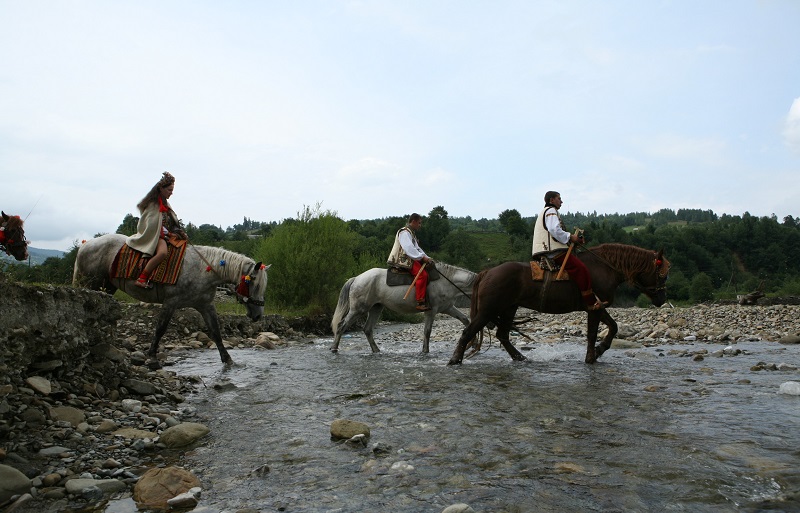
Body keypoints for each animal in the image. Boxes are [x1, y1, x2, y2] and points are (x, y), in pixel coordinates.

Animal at [73, 232, 270, 364]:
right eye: (254, 285)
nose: (258, 315)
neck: (203, 270)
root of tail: (86, 245)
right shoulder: (170, 303)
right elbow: (160, 329)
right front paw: (152, 356)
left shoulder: (206, 305)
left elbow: (216, 332)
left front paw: (228, 359)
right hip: (92, 285)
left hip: (107, 286)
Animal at [330, 262, 476, 354]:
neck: (446, 282)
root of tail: (357, 278)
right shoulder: (431, 311)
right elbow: (427, 331)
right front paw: (425, 351)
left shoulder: (448, 308)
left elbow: (466, 320)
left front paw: (473, 344)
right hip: (358, 310)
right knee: (341, 326)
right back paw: (334, 349)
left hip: (376, 308)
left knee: (367, 329)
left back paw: (376, 350)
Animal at [450, 243, 668, 364]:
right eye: (662, 274)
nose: (662, 299)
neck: (605, 267)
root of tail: (488, 272)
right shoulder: (593, 309)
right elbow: (593, 334)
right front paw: (592, 357)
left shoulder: (598, 307)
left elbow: (613, 327)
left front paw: (599, 350)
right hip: (488, 310)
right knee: (468, 332)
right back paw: (455, 360)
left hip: (508, 309)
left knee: (502, 335)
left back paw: (521, 358)